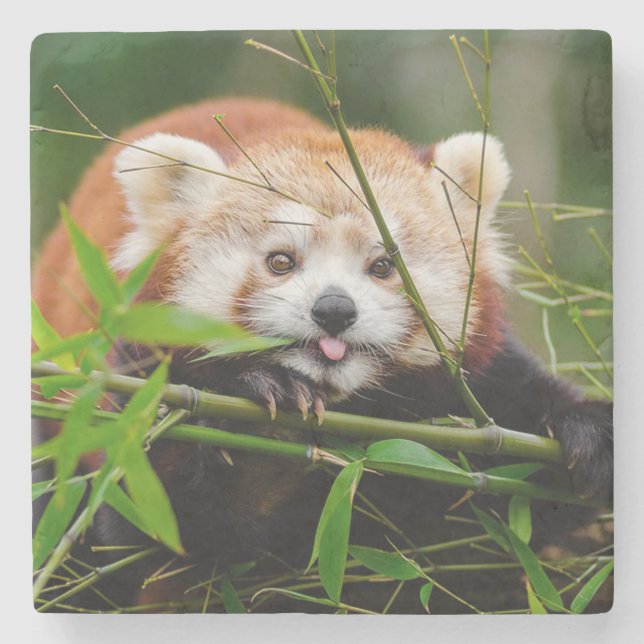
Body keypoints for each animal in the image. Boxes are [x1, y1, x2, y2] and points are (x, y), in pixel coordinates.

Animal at [32, 97, 612, 613]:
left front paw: (591, 431)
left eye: (383, 266)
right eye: (281, 261)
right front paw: (268, 417)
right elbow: (147, 531)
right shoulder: (145, 388)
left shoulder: (482, 385)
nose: (334, 309)